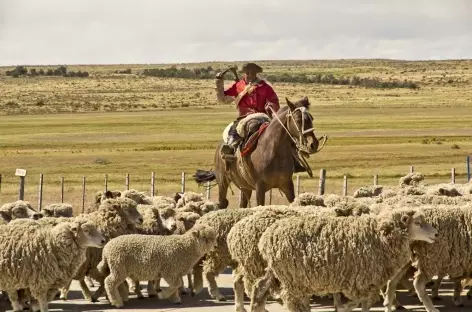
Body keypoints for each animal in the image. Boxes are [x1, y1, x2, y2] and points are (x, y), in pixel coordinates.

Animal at [194, 97, 326, 208]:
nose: (313, 144)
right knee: (222, 202)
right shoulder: (260, 187)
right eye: (298, 120)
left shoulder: (287, 185)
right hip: (223, 181)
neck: (273, 151)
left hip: (244, 187)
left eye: (311, 119)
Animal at [254, 207, 438, 312]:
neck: (381, 237)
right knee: (290, 299)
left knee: (260, 288)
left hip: (277, 272)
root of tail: (266, 238)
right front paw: (344, 308)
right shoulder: (362, 280)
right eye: (418, 223)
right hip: (292, 277)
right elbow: (360, 302)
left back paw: (255, 307)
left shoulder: (368, 282)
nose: (436, 234)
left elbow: (365, 303)